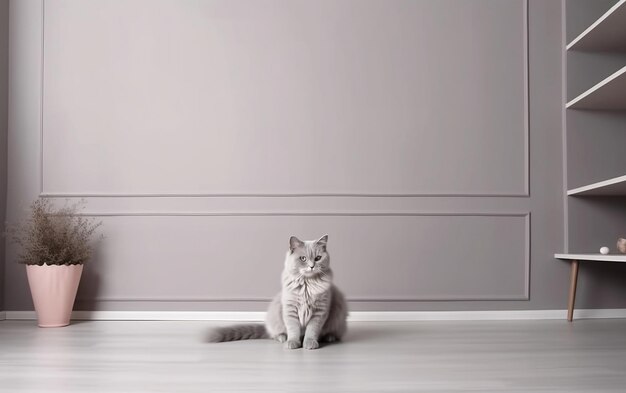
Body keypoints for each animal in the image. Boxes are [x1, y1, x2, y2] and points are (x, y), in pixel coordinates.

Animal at [208, 233, 346, 350]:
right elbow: (293, 329)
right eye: (303, 258)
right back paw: (282, 338)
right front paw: (292, 343)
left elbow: (312, 330)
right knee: (275, 333)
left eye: (318, 258)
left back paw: (329, 337)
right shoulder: (290, 309)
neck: (307, 285)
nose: (311, 266)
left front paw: (309, 343)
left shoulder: (319, 312)